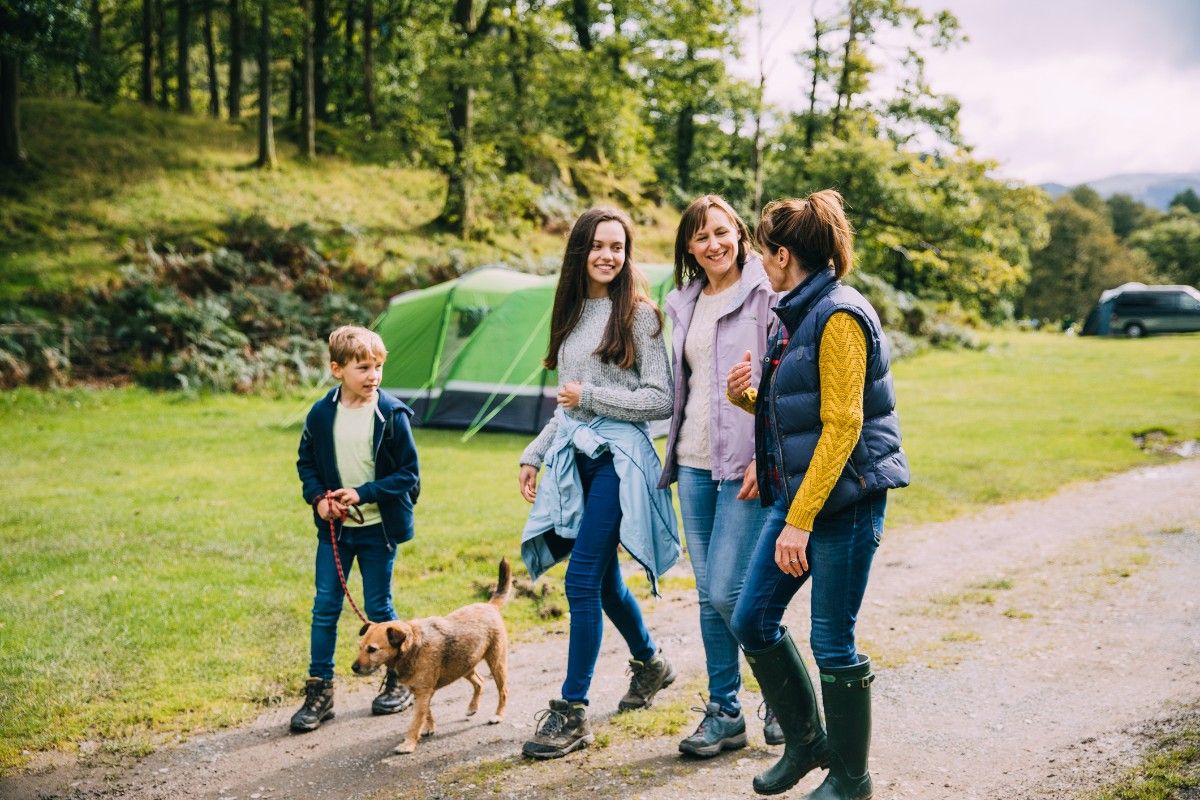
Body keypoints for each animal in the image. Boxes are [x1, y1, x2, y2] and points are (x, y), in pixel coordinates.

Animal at [350, 561, 511, 753]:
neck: (412, 646)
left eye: (372, 649)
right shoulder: (421, 692)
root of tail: (489, 606)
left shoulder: (423, 692)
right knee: (479, 681)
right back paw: (472, 708)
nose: (354, 668)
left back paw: (498, 715)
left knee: (503, 691)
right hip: (464, 664)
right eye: (360, 647)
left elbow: (415, 721)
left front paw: (408, 743)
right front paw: (429, 728)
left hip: (496, 664)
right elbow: (426, 713)